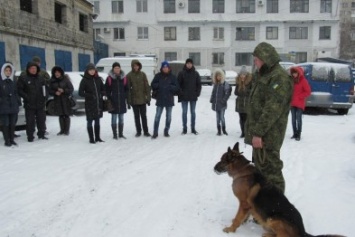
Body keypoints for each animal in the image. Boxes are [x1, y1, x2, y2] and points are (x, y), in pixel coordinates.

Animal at [214, 143, 344, 237]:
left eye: (221, 160)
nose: (213, 168)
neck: (242, 171)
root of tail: (303, 232)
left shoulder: (244, 204)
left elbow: (238, 218)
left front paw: (230, 229)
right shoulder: (248, 206)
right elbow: (243, 216)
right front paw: (241, 223)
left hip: (272, 220)